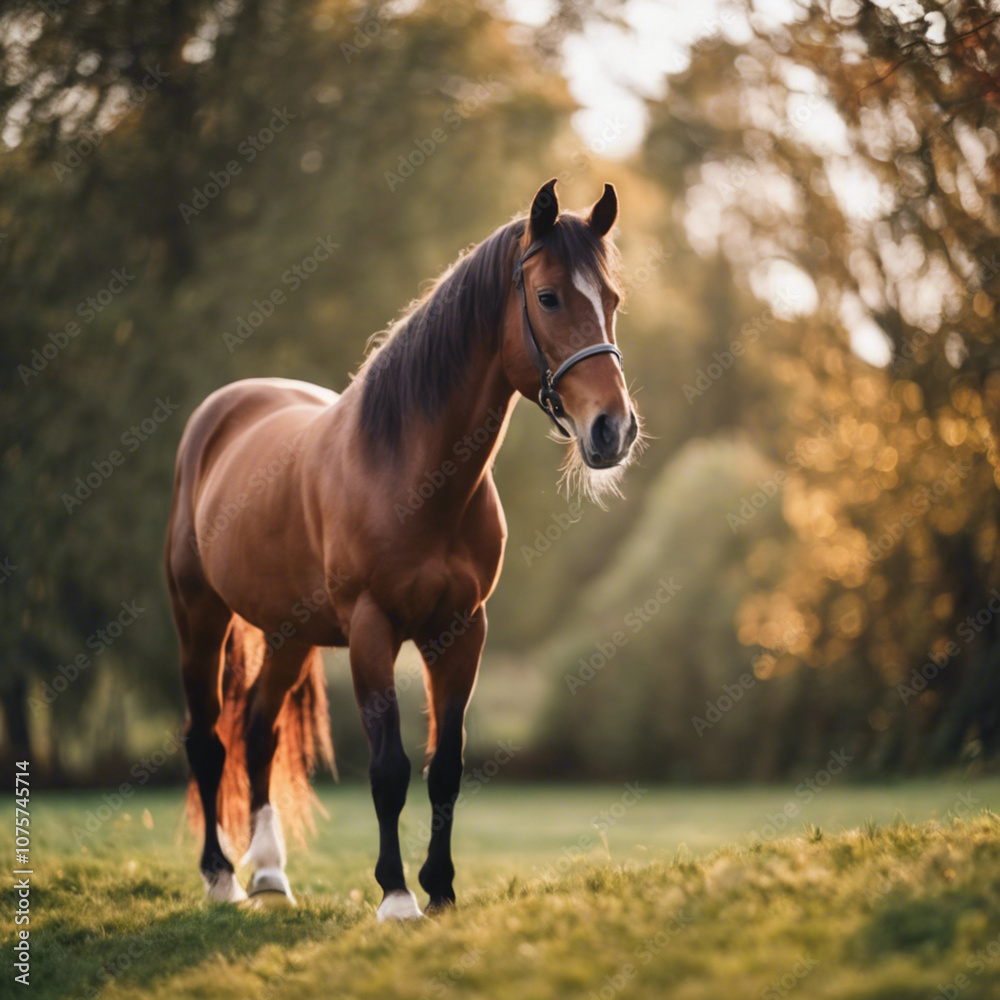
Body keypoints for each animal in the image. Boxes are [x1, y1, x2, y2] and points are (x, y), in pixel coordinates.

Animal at [165, 178, 640, 920]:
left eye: (611, 299)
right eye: (549, 297)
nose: (612, 430)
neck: (412, 474)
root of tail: (223, 412)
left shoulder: (462, 631)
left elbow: (446, 766)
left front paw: (440, 889)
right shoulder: (372, 628)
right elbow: (388, 767)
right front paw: (395, 895)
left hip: (289, 634)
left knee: (259, 733)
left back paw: (270, 873)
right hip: (200, 616)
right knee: (207, 740)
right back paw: (221, 878)